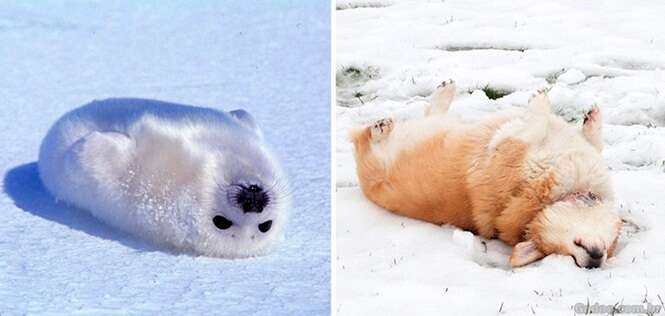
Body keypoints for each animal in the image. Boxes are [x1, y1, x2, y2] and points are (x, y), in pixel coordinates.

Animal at [350, 80, 620, 268]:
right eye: (576, 247)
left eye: (605, 253)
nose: (594, 258)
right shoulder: (514, 147)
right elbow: (575, 135)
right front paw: (581, 115)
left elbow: (551, 126)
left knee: (374, 137)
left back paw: (384, 126)